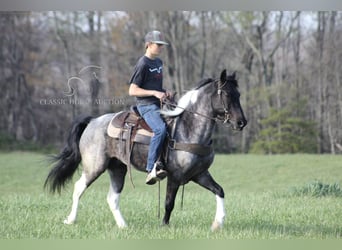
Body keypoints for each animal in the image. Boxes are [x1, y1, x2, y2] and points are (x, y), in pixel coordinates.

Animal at [44, 69, 246, 231]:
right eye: (226, 94)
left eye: (238, 94)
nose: (241, 122)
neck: (188, 129)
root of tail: (93, 121)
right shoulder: (174, 176)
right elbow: (169, 203)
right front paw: (164, 226)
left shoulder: (200, 174)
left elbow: (219, 191)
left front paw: (218, 223)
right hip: (94, 166)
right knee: (79, 187)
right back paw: (71, 220)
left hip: (117, 168)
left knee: (112, 198)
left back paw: (123, 226)